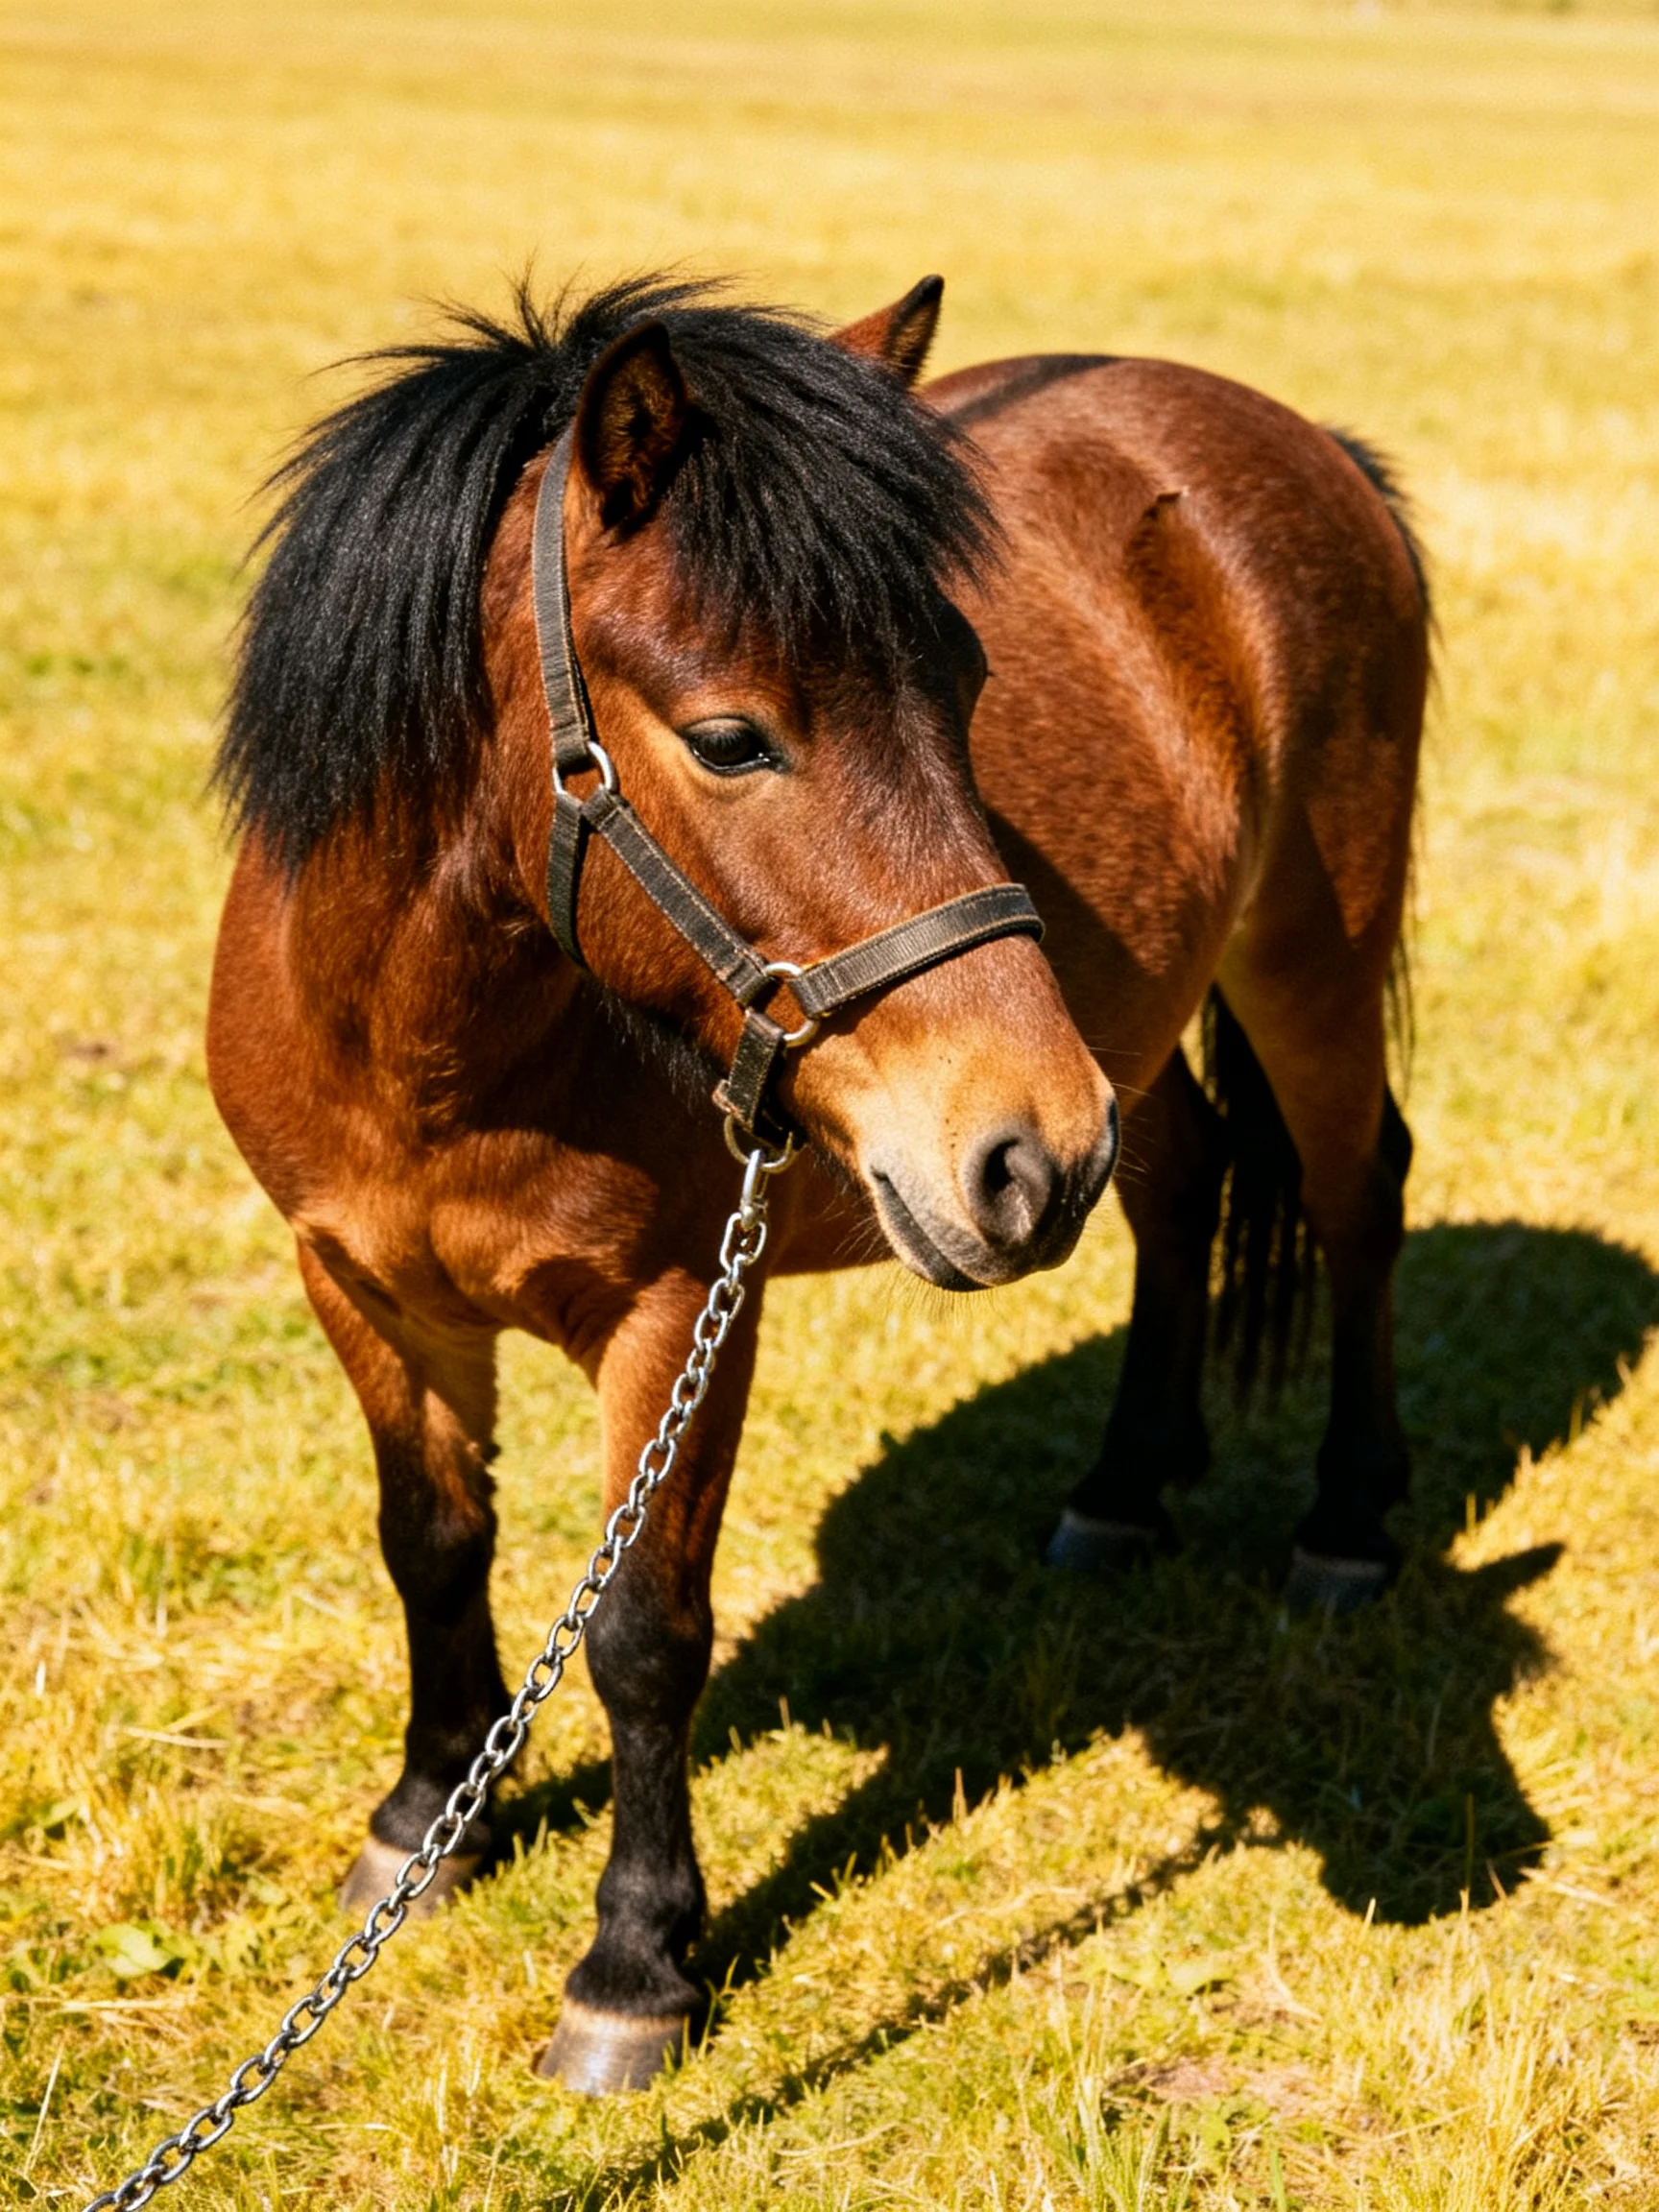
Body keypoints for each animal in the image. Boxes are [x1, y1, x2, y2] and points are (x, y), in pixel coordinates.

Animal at [205, 273, 1428, 2096]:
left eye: (970, 682)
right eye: (729, 738)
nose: (1025, 1141)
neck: (425, 1045)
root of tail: (1300, 442)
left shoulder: (678, 1315)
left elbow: (645, 1632)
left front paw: (636, 1964)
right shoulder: (352, 1279)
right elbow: (429, 1542)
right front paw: (430, 1820)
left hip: (1304, 955)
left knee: (1359, 1195)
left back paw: (1346, 1522)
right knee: (1182, 1184)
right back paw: (1120, 1488)